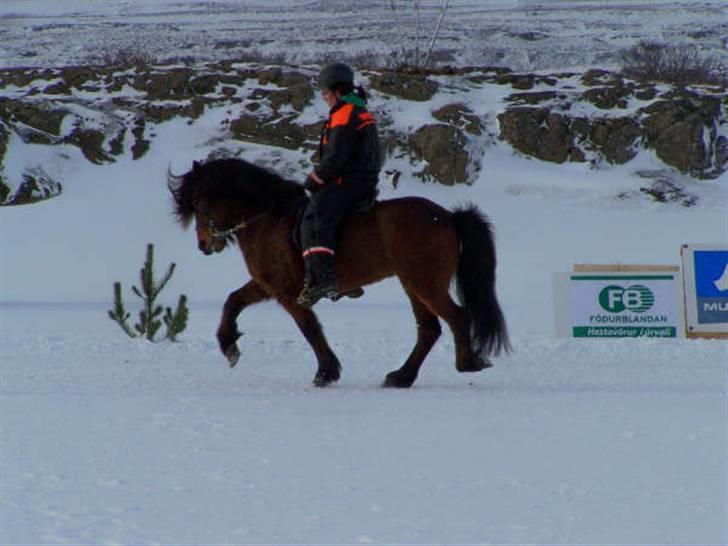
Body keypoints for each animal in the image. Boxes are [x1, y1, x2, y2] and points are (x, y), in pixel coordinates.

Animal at [171, 157, 512, 386]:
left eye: (199, 202)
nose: (204, 244)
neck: (268, 218)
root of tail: (449, 217)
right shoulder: (267, 285)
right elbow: (233, 301)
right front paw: (228, 345)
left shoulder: (287, 291)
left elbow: (310, 329)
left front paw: (326, 372)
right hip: (413, 284)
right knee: (429, 329)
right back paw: (401, 376)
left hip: (424, 283)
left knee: (458, 317)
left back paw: (467, 363)